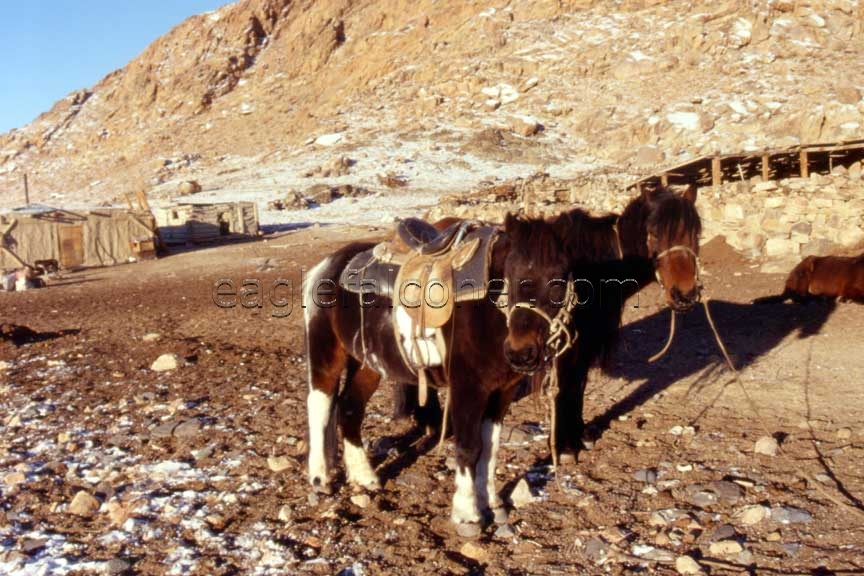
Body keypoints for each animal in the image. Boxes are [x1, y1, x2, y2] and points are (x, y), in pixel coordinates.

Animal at [304, 210, 588, 520]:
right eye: (511, 275)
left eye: (558, 279)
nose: (521, 353)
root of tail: (326, 266)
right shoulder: (467, 388)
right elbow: (468, 447)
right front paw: (467, 512)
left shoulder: (502, 392)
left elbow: (491, 447)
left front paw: (491, 501)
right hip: (326, 352)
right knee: (320, 404)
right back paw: (320, 478)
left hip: (367, 364)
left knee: (349, 408)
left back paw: (364, 477)